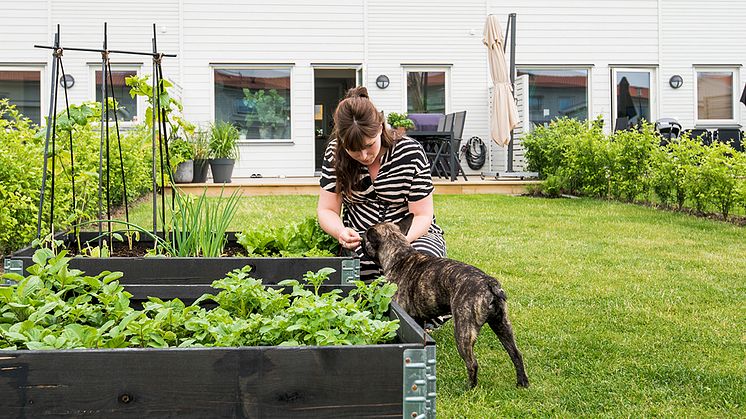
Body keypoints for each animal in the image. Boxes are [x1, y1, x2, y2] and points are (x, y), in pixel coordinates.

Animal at [362, 217, 528, 390]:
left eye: (365, 238)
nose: (360, 240)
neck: (399, 255)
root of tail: (489, 282)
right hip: (502, 325)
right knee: (516, 354)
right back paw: (522, 383)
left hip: (463, 331)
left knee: (472, 363)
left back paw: (469, 389)